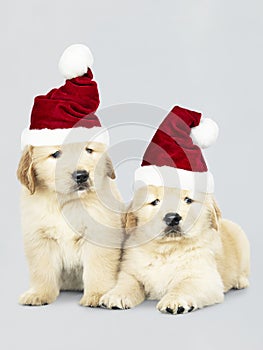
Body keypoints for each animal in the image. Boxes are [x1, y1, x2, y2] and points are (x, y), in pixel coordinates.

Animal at [17, 142, 124, 306]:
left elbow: (98, 267)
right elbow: (42, 270)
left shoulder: (99, 235)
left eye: (89, 150)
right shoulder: (40, 238)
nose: (82, 175)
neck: (67, 202)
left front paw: (97, 294)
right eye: (56, 154)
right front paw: (39, 294)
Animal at [100, 186, 251, 314]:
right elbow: (127, 283)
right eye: (155, 202)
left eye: (188, 200)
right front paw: (115, 295)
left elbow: (185, 286)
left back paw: (240, 281)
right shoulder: (131, 271)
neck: (167, 249)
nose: (172, 217)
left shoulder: (204, 277)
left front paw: (174, 301)